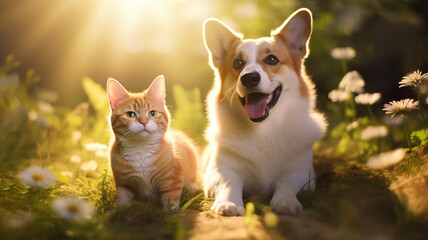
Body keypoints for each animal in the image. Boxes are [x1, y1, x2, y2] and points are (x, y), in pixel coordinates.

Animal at [107, 76, 201, 209]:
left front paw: (171, 213)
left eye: (152, 113)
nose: (144, 122)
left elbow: (170, 203)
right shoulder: (123, 184)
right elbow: (122, 202)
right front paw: (120, 212)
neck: (140, 150)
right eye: (130, 114)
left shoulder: (172, 181)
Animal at [202, 8, 326, 216]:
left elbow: (286, 182)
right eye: (238, 63)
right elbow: (230, 181)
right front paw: (229, 203)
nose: (249, 78)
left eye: (272, 59)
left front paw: (285, 202)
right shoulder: (218, 170)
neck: (263, 130)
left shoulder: (301, 173)